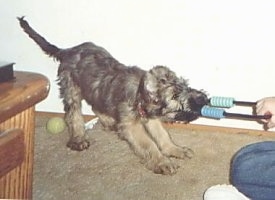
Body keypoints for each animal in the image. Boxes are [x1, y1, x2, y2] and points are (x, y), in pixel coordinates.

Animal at [18, 16, 208, 173]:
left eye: (185, 85)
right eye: (175, 96)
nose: (203, 98)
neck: (139, 96)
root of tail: (68, 51)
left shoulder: (151, 119)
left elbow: (163, 136)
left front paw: (175, 150)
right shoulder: (132, 126)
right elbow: (149, 144)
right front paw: (162, 162)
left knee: (95, 105)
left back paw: (108, 121)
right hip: (71, 89)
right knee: (73, 115)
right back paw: (79, 139)